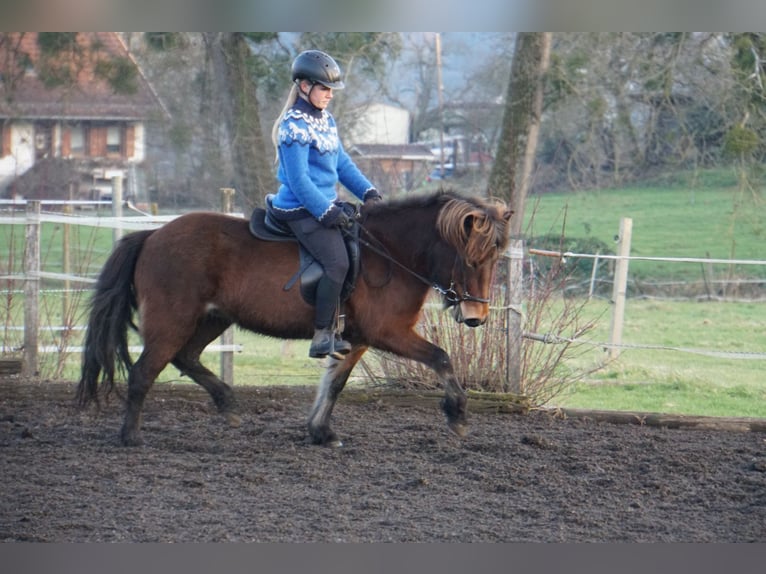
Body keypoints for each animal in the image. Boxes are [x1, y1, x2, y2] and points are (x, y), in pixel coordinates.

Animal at [76, 189, 512, 447]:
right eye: (470, 259)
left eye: (495, 259)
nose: (476, 317)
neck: (389, 253)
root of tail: (152, 235)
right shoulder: (388, 332)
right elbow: (441, 357)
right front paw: (457, 414)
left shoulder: (357, 337)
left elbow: (334, 384)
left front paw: (320, 431)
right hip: (172, 322)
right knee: (143, 373)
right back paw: (131, 437)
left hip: (212, 319)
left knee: (186, 358)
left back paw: (227, 403)